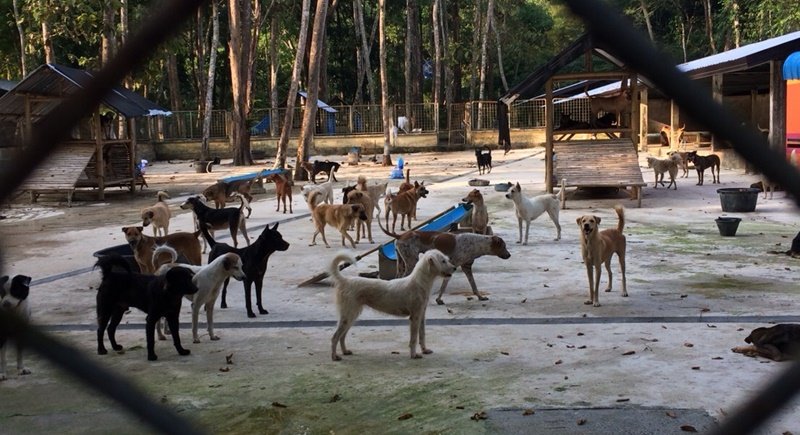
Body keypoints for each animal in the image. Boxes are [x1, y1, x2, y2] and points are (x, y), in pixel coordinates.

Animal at [328, 249, 456, 362]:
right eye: (443, 261)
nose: (454, 268)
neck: (419, 282)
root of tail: (345, 280)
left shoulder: (421, 315)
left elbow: (422, 335)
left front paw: (425, 350)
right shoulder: (414, 317)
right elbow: (414, 339)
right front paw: (414, 355)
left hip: (351, 316)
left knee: (342, 336)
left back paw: (345, 351)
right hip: (348, 315)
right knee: (335, 337)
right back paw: (334, 357)